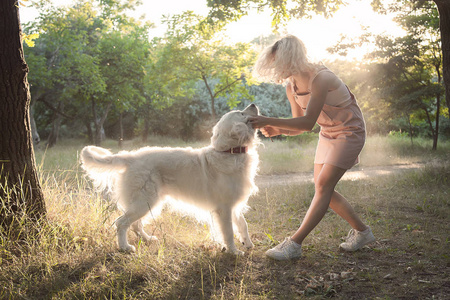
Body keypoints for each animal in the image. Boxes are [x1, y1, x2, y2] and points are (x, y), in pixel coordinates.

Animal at [79, 103, 258, 255]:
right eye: (241, 113)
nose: (253, 104)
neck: (229, 152)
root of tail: (130, 157)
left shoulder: (234, 206)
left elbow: (243, 224)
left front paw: (248, 243)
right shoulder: (224, 208)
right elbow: (228, 232)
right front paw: (234, 252)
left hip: (147, 202)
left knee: (136, 224)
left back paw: (147, 239)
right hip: (144, 200)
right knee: (122, 222)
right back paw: (125, 247)